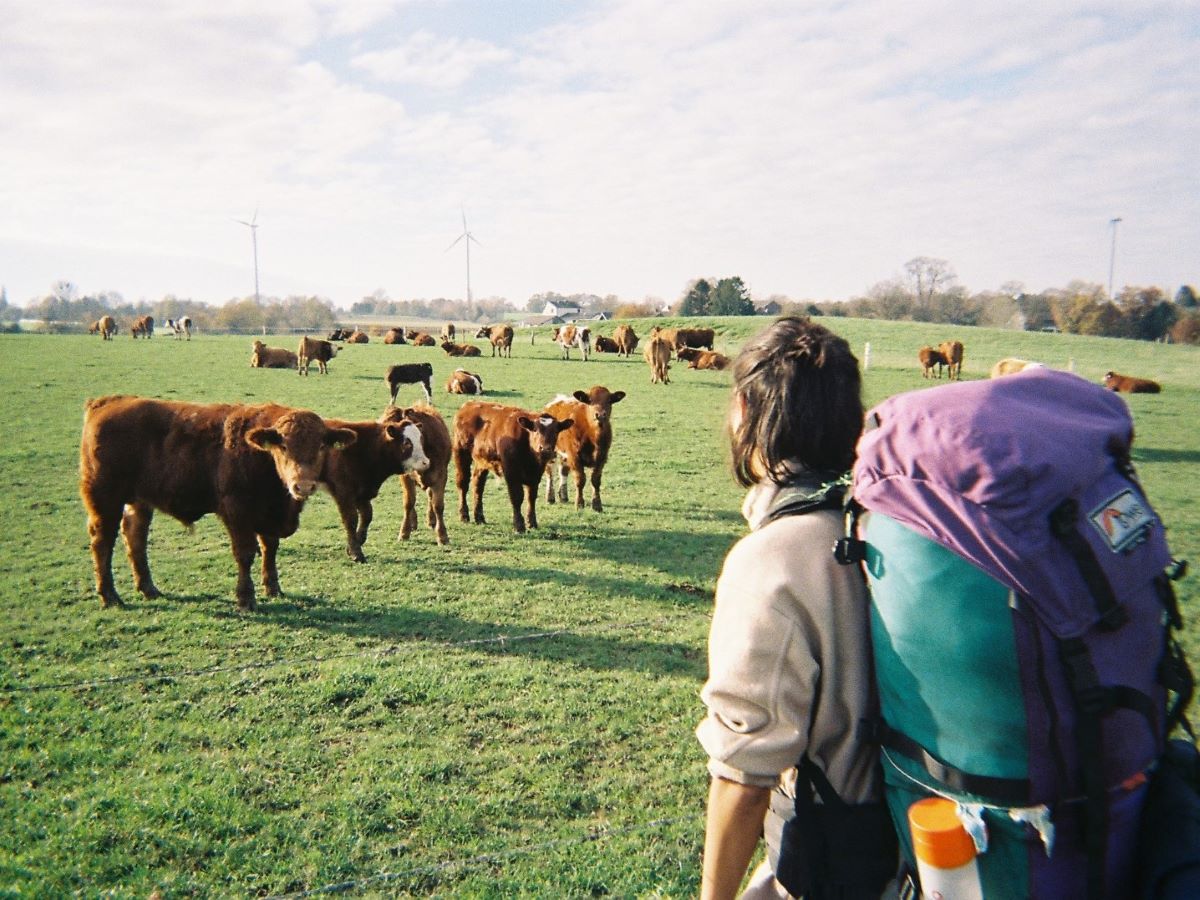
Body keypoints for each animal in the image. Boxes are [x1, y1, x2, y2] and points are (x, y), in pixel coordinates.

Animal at [80, 396, 355, 614]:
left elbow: (270, 549)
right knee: (102, 543)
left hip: (139, 500)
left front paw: (273, 587)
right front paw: (246, 599)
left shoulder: (268, 514)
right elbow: (245, 553)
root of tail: (107, 402)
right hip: (105, 498)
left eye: (321, 445)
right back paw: (110, 596)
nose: (303, 486)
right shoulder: (237, 512)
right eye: (284, 446)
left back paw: (149, 589)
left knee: (135, 537)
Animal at [319, 415, 432, 564]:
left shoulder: (362, 493)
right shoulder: (344, 493)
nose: (425, 462)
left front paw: (356, 543)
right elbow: (351, 520)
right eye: (406, 443)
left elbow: (367, 516)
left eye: (420, 439)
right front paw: (356, 552)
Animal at [379, 405, 451, 547]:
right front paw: (404, 532)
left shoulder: (441, 476)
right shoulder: (406, 476)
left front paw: (442, 536)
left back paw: (431, 520)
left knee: (430, 496)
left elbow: (438, 505)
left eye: (419, 438)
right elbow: (409, 503)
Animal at [453, 403, 576, 535]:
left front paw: (532, 522)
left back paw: (479, 517)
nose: (545, 449)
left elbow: (531, 497)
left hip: (482, 461)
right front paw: (519, 525)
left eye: (556, 431)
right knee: (463, 484)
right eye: (535, 430)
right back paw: (464, 515)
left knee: (478, 485)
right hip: (460, 453)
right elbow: (517, 497)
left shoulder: (535, 474)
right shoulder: (511, 472)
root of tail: (468, 405)